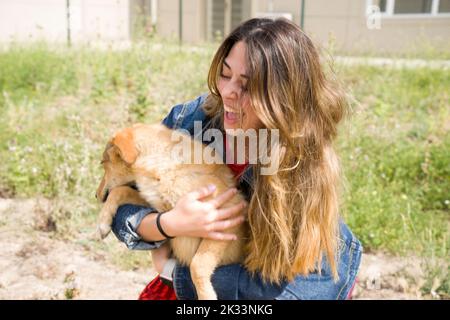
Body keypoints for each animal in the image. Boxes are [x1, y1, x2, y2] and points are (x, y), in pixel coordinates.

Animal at [96, 123, 248, 300]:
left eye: (103, 163)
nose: (95, 195)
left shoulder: (228, 217)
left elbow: (197, 264)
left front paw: (206, 295)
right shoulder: (158, 208)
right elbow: (120, 191)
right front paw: (102, 224)